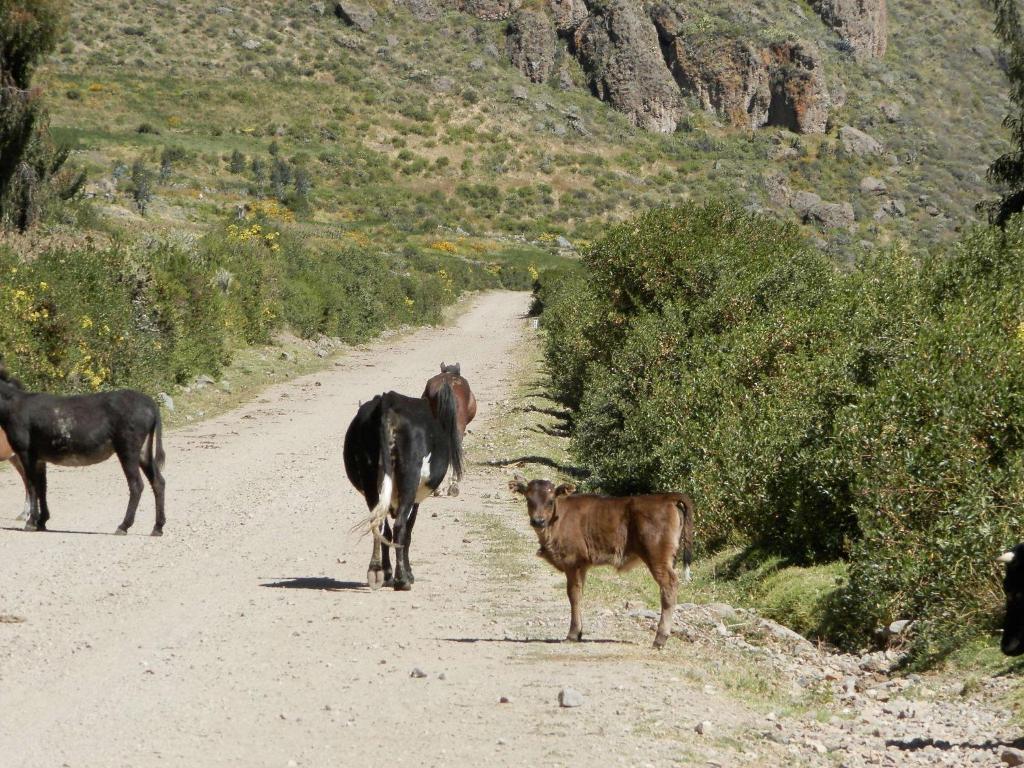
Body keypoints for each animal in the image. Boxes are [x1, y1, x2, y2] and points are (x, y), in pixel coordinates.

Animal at [0, 366, 165, 536]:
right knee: (158, 482)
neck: (12, 405)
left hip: (128, 449)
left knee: (136, 485)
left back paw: (123, 526)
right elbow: (42, 488)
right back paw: (157, 527)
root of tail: (149, 402)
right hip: (143, 452)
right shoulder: (39, 458)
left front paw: (31, 523)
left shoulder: (26, 453)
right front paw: (42, 521)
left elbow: (32, 486)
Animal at [344, 382, 464, 593]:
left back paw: (376, 572)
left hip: (370, 480)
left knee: (379, 524)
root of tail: (388, 401)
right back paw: (402, 580)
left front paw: (387, 573)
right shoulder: (416, 499)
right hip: (410, 478)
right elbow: (408, 532)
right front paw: (408, 573)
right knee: (400, 526)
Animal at [509, 475, 696, 651]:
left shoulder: (573, 562)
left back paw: (660, 639)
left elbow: (574, 595)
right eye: (528, 499)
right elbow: (580, 594)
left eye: (550, 501)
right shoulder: (582, 566)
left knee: (669, 587)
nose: (538, 521)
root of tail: (666, 497)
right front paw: (579, 632)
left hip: (657, 557)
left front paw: (572, 634)